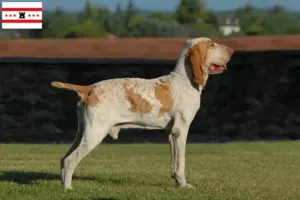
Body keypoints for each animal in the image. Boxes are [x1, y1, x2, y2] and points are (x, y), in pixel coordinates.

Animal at [51, 37, 234, 189]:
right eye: (211, 44)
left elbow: (174, 163)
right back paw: (68, 188)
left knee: (63, 159)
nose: (232, 50)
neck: (185, 81)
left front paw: (177, 183)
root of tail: (89, 88)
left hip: (82, 132)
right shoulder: (181, 130)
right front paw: (184, 185)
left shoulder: (171, 133)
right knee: (70, 160)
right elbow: (180, 163)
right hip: (95, 133)